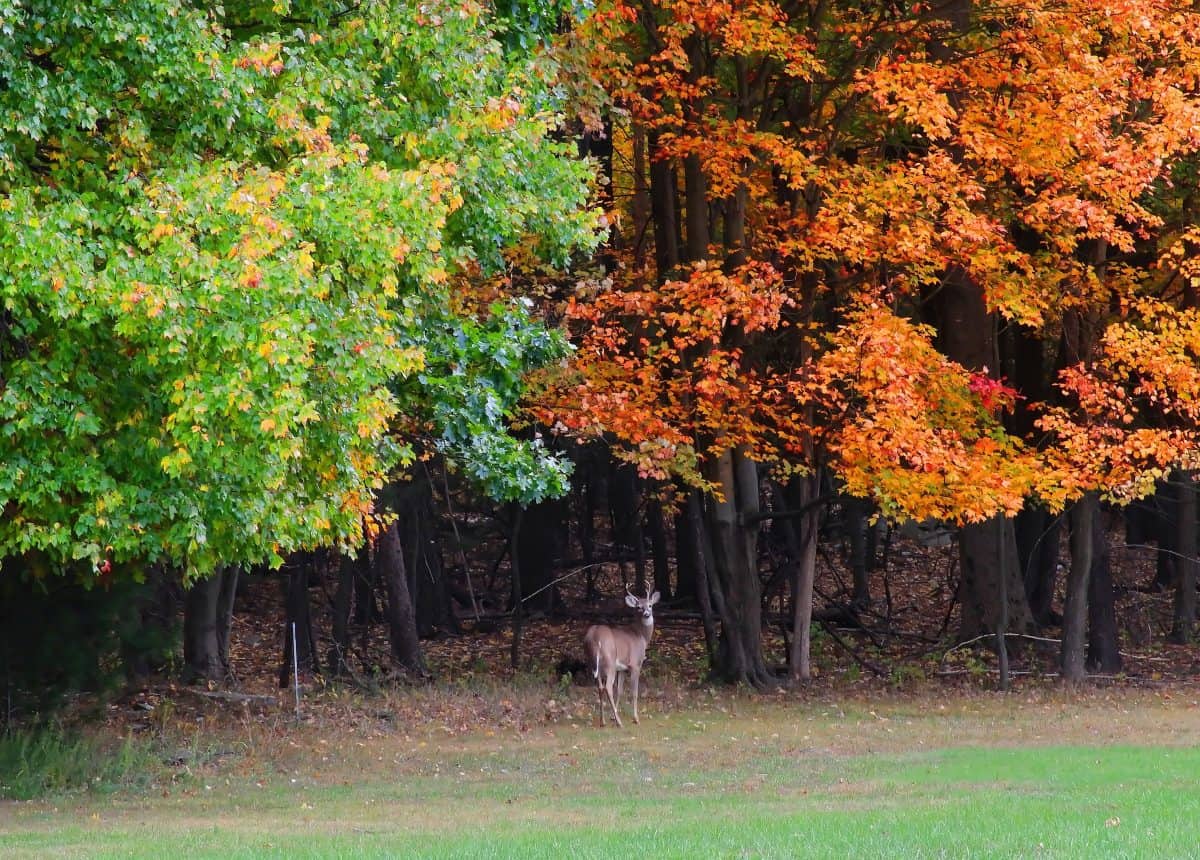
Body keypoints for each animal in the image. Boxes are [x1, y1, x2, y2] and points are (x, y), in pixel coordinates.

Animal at [583, 586, 660, 727]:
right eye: (639, 607)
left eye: (650, 605)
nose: (647, 614)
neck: (641, 636)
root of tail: (594, 637)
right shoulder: (635, 664)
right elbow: (634, 692)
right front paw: (635, 718)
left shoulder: (622, 669)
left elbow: (620, 690)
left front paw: (613, 716)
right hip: (610, 662)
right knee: (608, 687)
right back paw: (619, 723)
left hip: (593, 663)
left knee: (600, 687)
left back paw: (603, 721)